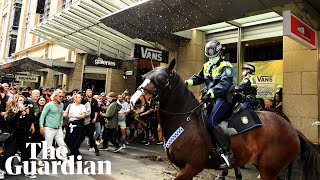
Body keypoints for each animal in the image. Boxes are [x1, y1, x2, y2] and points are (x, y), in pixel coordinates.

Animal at [130, 58, 320, 179]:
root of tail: (292, 129)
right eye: (144, 76)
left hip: (269, 169)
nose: (135, 101)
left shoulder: (192, 167)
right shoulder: (184, 168)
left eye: (161, 79)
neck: (185, 122)